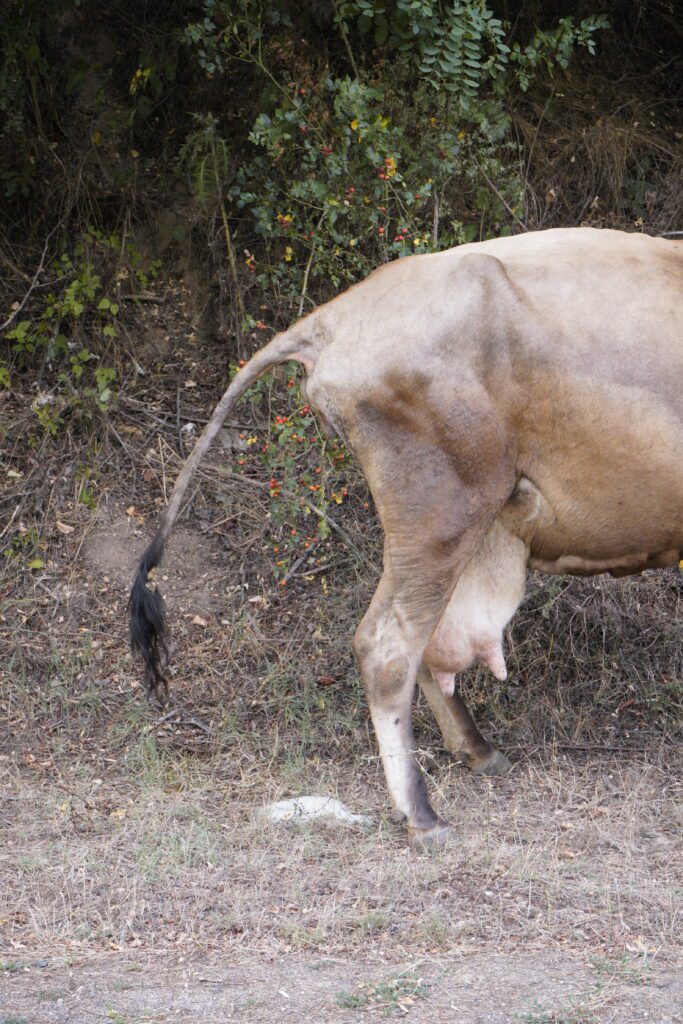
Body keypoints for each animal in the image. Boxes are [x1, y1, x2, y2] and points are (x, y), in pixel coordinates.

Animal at [129, 227, 683, 849]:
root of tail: (338, 314)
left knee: (426, 641)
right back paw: (422, 814)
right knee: (389, 645)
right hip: (442, 511)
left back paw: (477, 751)